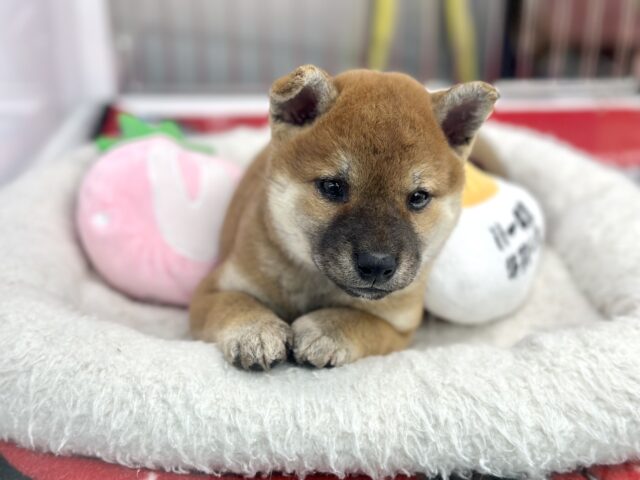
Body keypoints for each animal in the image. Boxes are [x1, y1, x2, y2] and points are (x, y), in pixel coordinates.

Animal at [190, 64, 500, 372]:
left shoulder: (399, 327)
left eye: (418, 197)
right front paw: (255, 330)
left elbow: (363, 322)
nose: (377, 265)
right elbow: (234, 304)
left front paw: (325, 330)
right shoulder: (209, 292)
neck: (316, 281)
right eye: (332, 187)